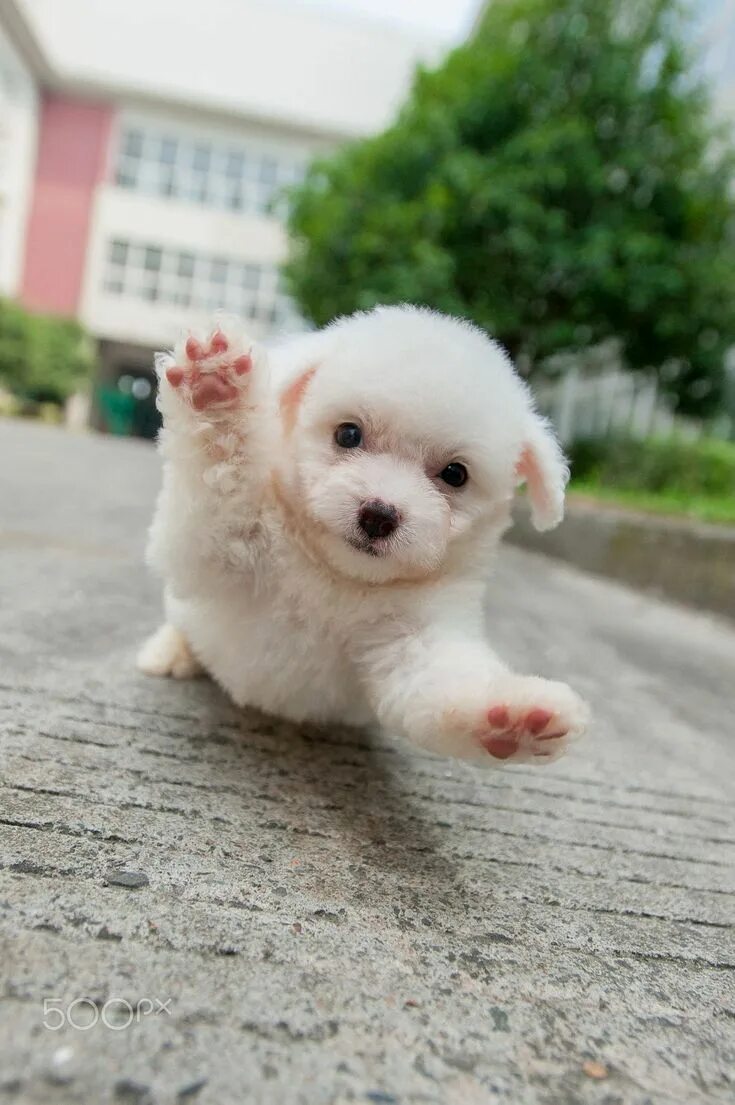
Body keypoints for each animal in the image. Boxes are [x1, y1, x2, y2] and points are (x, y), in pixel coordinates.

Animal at [137, 307, 588, 764]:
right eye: (348, 434)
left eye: (455, 474)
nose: (378, 515)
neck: (340, 578)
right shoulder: (224, 547)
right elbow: (220, 476)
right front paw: (215, 386)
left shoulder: (414, 640)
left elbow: (440, 683)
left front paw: (513, 717)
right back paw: (171, 651)